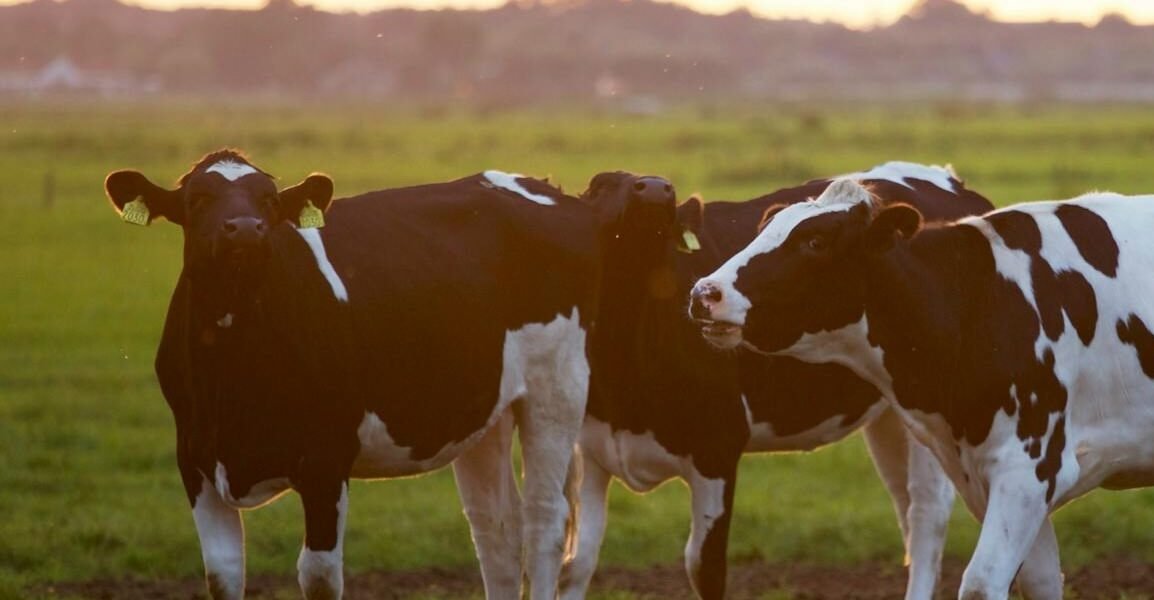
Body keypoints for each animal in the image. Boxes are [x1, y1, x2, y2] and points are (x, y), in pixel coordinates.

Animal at [102, 150, 598, 600]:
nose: (244, 228)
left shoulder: (326, 461)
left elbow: (319, 577)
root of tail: (541, 186)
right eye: (198, 199)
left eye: (268, 200)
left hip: (557, 390)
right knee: (497, 531)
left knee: (544, 522)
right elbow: (222, 575)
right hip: (485, 412)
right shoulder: (195, 458)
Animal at [561, 163, 994, 600]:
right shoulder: (591, 450)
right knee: (904, 505)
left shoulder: (717, 451)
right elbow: (577, 563)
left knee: (926, 514)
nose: (654, 188)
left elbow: (705, 567)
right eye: (599, 185)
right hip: (892, 415)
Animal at [690, 176, 1154, 599]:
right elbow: (1039, 582)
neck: (975, 303)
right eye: (766, 228)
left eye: (815, 242)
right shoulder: (989, 479)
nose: (704, 293)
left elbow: (981, 583)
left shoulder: (1031, 466)